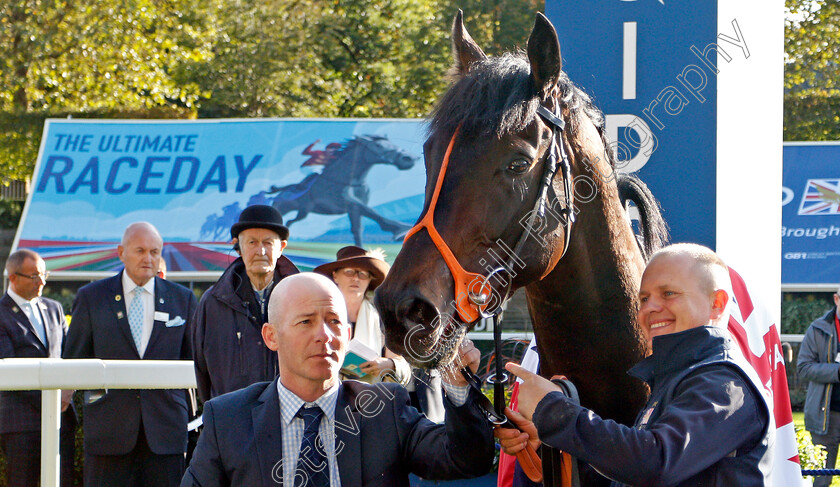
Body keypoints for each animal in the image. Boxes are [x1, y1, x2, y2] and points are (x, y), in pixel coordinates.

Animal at [264, 134, 418, 246]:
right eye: (378, 145)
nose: (408, 158)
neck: (350, 180)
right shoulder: (348, 202)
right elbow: (373, 213)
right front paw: (401, 230)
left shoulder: (353, 209)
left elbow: (358, 229)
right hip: (285, 209)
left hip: (303, 212)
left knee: (290, 222)